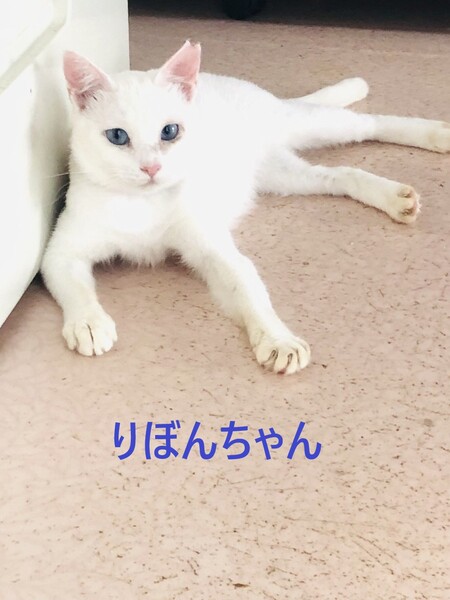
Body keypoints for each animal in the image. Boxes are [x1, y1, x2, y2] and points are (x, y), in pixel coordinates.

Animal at [41, 41, 450, 375]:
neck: (142, 203)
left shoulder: (215, 250)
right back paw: (394, 197)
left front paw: (278, 339)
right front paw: (88, 324)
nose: (151, 168)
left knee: (369, 123)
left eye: (170, 132)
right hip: (287, 175)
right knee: (341, 175)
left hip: (312, 125)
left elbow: (250, 291)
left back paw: (433, 133)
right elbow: (75, 288)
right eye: (117, 137)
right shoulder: (60, 253)